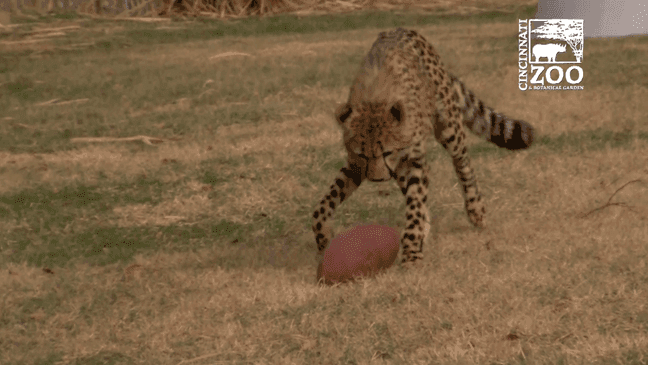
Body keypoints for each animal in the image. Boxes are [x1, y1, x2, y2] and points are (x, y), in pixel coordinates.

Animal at [312, 27, 536, 262]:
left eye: (387, 152)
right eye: (363, 154)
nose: (377, 179)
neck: (374, 101)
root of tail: (401, 28)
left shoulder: (415, 161)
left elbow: (415, 204)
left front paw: (411, 252)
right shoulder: (357, 165)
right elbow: (323, 204)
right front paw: (323, 239)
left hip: (449, 128)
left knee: (463, 165)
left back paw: (476, 210)